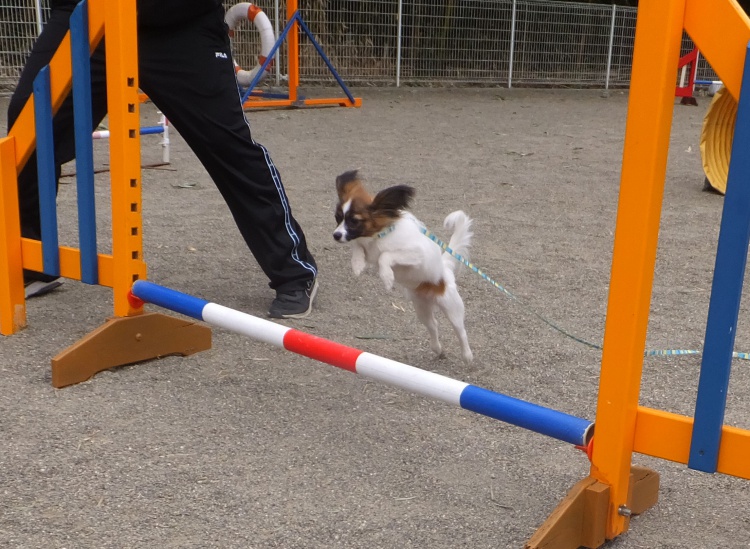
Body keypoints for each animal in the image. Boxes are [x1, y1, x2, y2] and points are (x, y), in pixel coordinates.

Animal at [332, 170, 473, 364]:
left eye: (354, 221)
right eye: (338, 218)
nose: (336, 235)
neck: (377, 237)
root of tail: (444, 268)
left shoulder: (415, 254)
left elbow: (385, 255)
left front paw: (387, 277)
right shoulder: (367, 249)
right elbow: (358, 247)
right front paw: (357, 264)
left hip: (452, 307)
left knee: (461, 331)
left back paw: (467, 356)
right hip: (421, 308)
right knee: (433, 325)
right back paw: (437, 349)